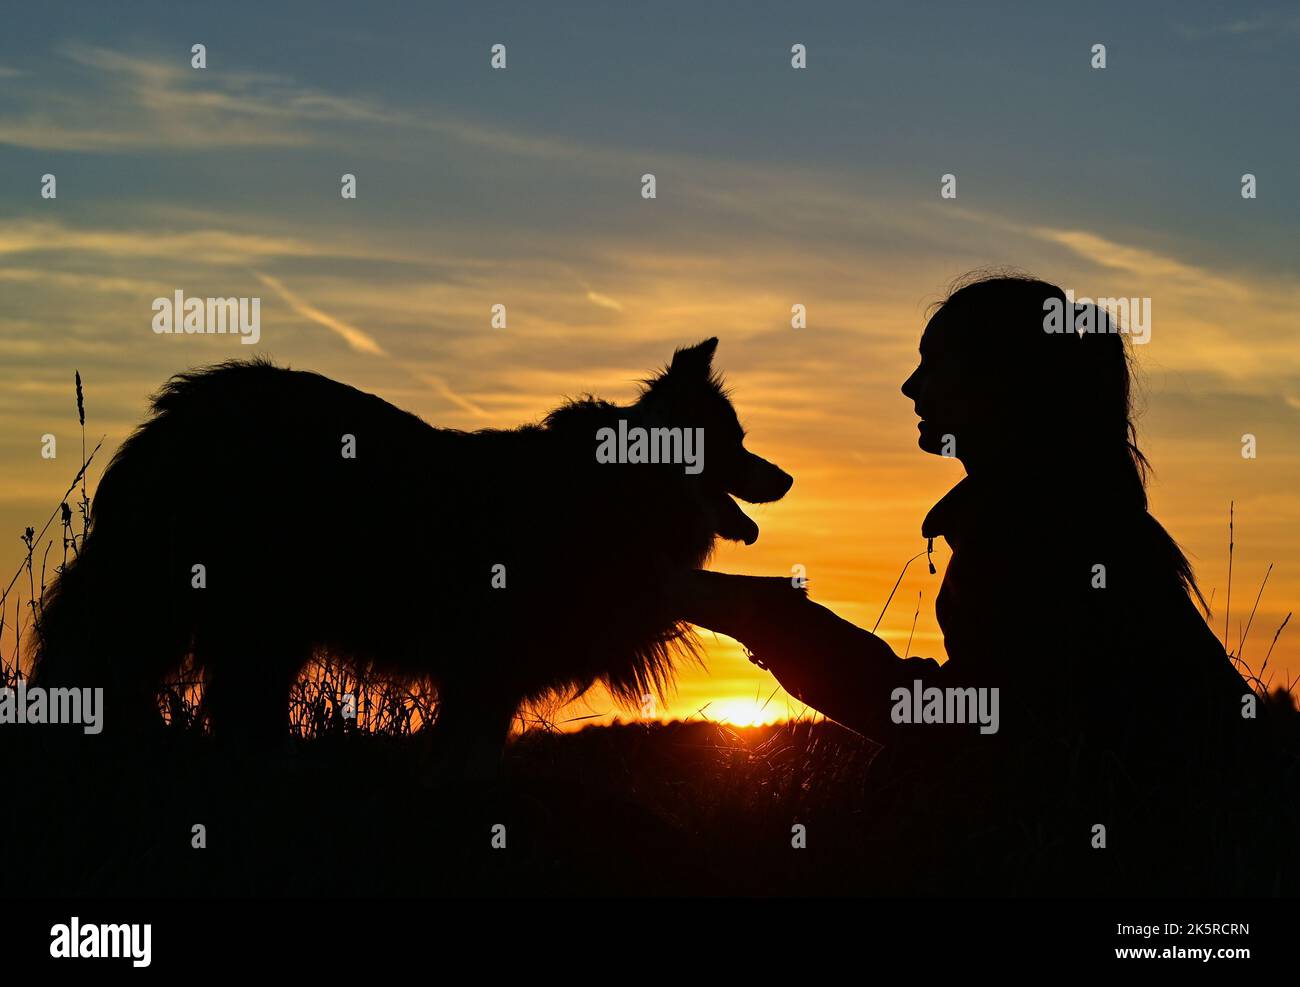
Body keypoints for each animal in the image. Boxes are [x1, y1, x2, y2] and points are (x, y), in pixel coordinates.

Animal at [30, 338, 785, 764]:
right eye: (734, 442)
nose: (787, 478)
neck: (624, 487)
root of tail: (178, 413)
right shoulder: (489, 659)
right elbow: (471, 744)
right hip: (248, 603)